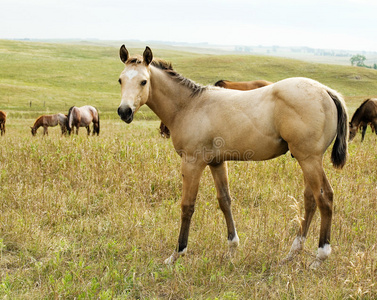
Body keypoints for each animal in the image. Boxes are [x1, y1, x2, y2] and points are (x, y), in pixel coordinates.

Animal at [117, 45, 346, 268]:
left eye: (143, 81)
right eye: (120, 79)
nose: (124, 111)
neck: (190, 106)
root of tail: (327, 91)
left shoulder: (192, 162)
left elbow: (187, 205)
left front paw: (177, 254)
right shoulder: (217, 163)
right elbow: (225, 201)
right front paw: (232, 249)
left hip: (309, 160)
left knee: (324, 198)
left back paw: (319, 257)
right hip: (308, 160)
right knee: (310, 200)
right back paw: (292, 253)